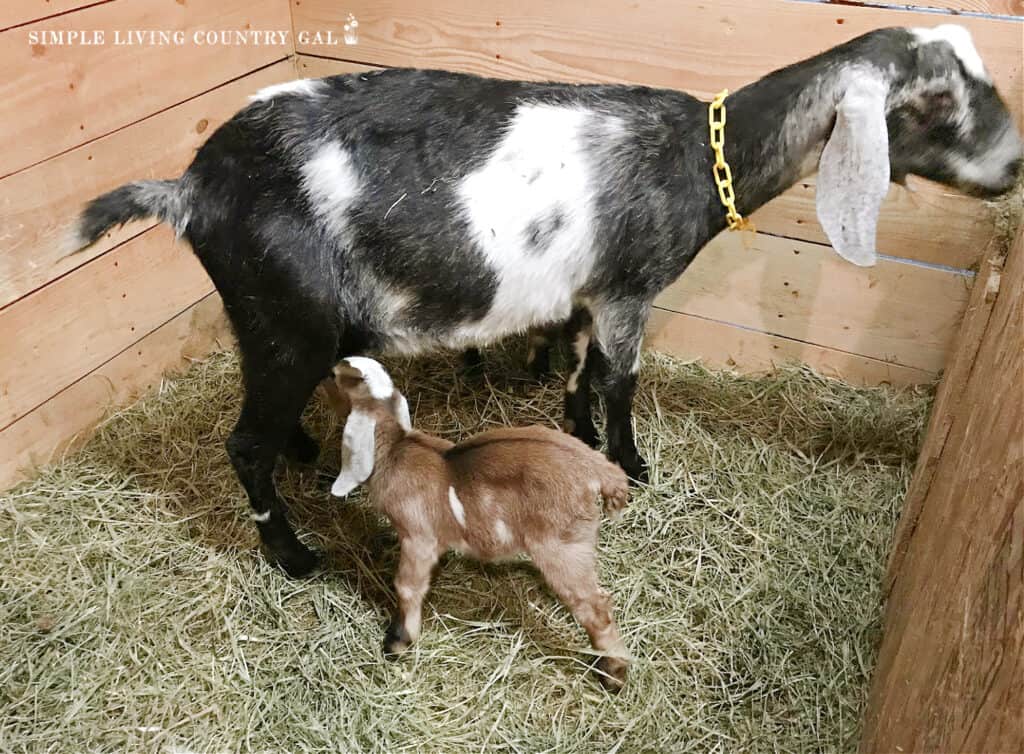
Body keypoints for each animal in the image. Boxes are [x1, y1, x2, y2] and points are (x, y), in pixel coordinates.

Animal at [74, 25, 1024, 577]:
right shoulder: (631, 286)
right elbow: (621, 380)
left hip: (271, 318)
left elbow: (579, 368)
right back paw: (295, 556)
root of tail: (192, 188)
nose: (1015, 164)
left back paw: (306, 452)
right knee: (242, 444)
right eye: (933, 100)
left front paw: (578, 438)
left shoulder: (589, 290)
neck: (695, 156)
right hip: (286, 312)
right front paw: (633, 465)